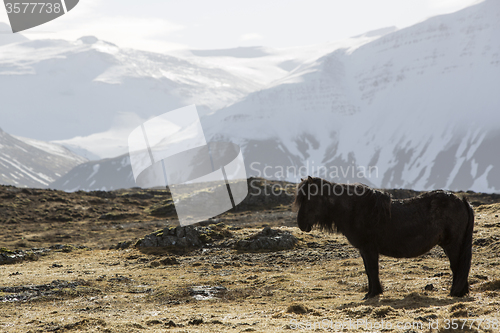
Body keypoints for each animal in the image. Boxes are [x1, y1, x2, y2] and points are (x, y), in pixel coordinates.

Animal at [292, 176, 472, 298]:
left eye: (310, 198)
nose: (301, 224)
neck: (355, 209)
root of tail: (462, 201)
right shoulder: (365, 250)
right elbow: (369, 271)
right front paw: (372, 292)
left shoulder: (369, 249)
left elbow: (372, 270)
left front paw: (373, 294)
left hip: (453, 245)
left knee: (457, 267)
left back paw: (456, 292)